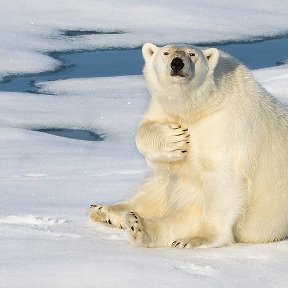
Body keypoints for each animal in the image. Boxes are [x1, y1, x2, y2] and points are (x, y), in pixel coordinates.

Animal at [89, 42, 288, 248]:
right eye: (166, 52)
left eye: (192, 54)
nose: (177, 63)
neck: (198, 106)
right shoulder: (162, 109)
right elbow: (145, 130)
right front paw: (175, 139)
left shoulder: (224, 127)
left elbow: (223, 179)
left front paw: (200, 238)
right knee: (157, 187)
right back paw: (106, 210)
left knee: (186, 215)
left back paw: (141, 226)